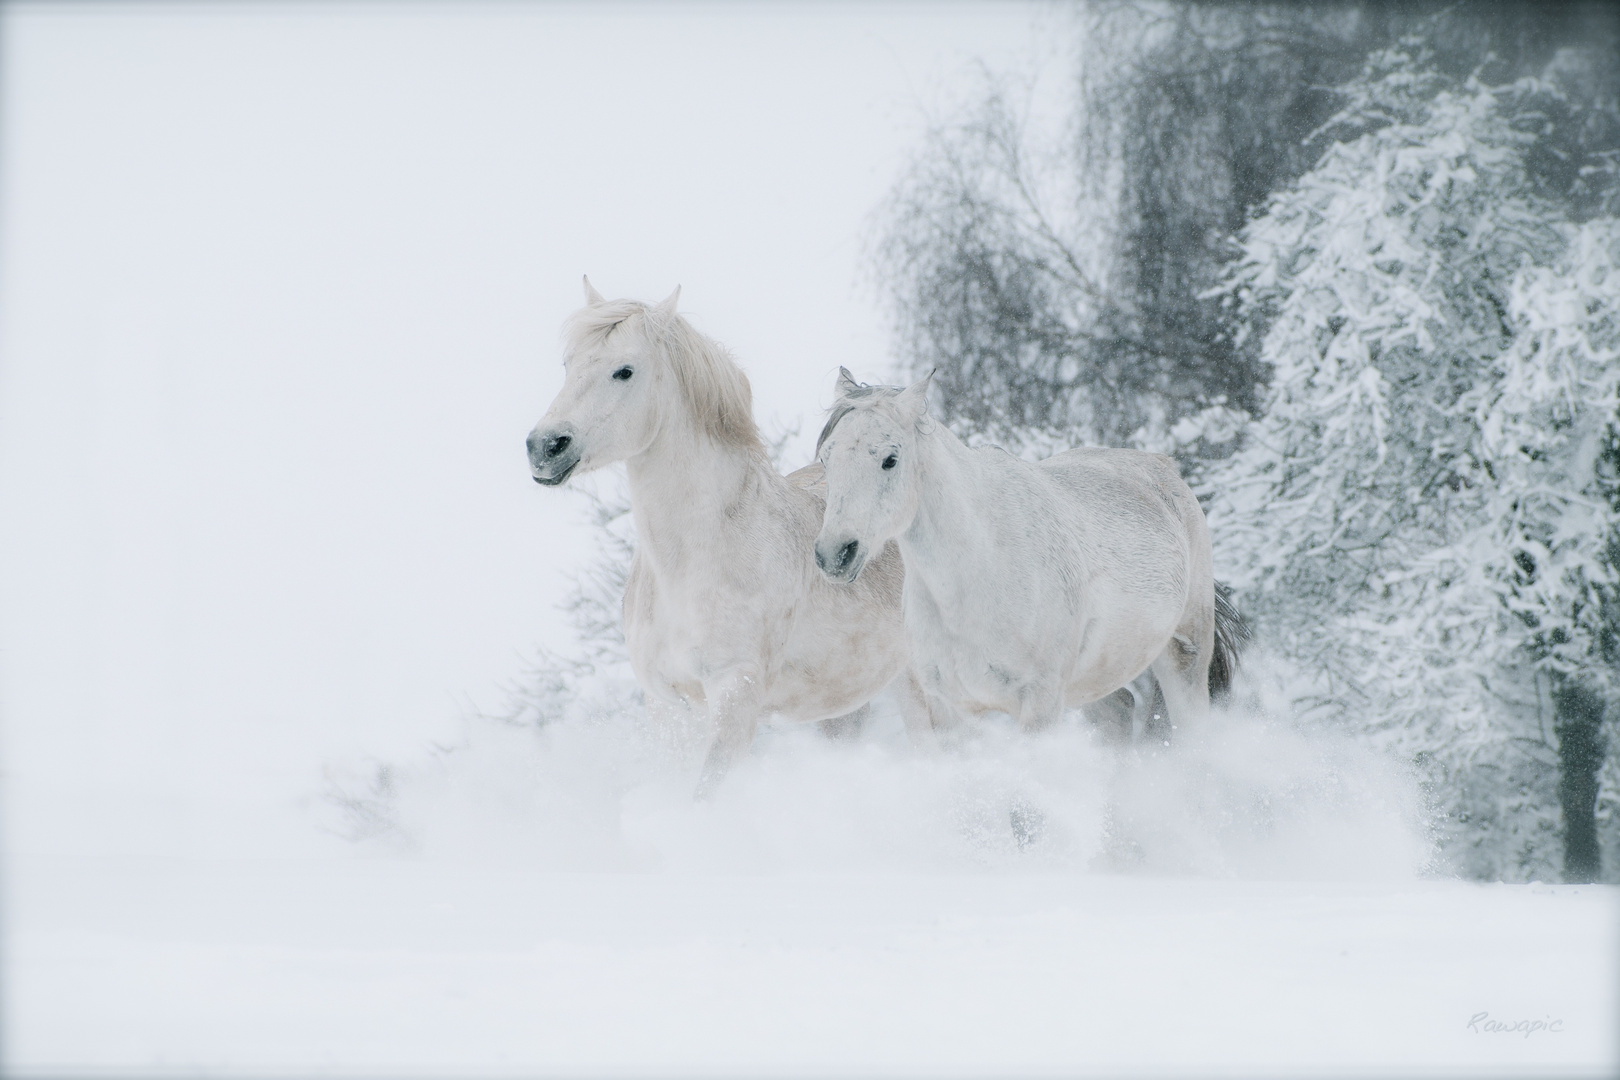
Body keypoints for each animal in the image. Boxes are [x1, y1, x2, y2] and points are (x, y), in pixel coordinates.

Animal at [531, 283, 939, 799]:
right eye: (567, 364)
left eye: (624, 370)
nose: (544, 447)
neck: (693, 563)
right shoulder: (667, 704)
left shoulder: (735, 698)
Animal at [810, 369, 1237, 735]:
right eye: (827, 458)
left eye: (890, 459)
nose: (835, 553)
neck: (978, 572)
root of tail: (1167, 471)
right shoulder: (948, 710)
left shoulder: (1039, 705)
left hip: (1184, 659)